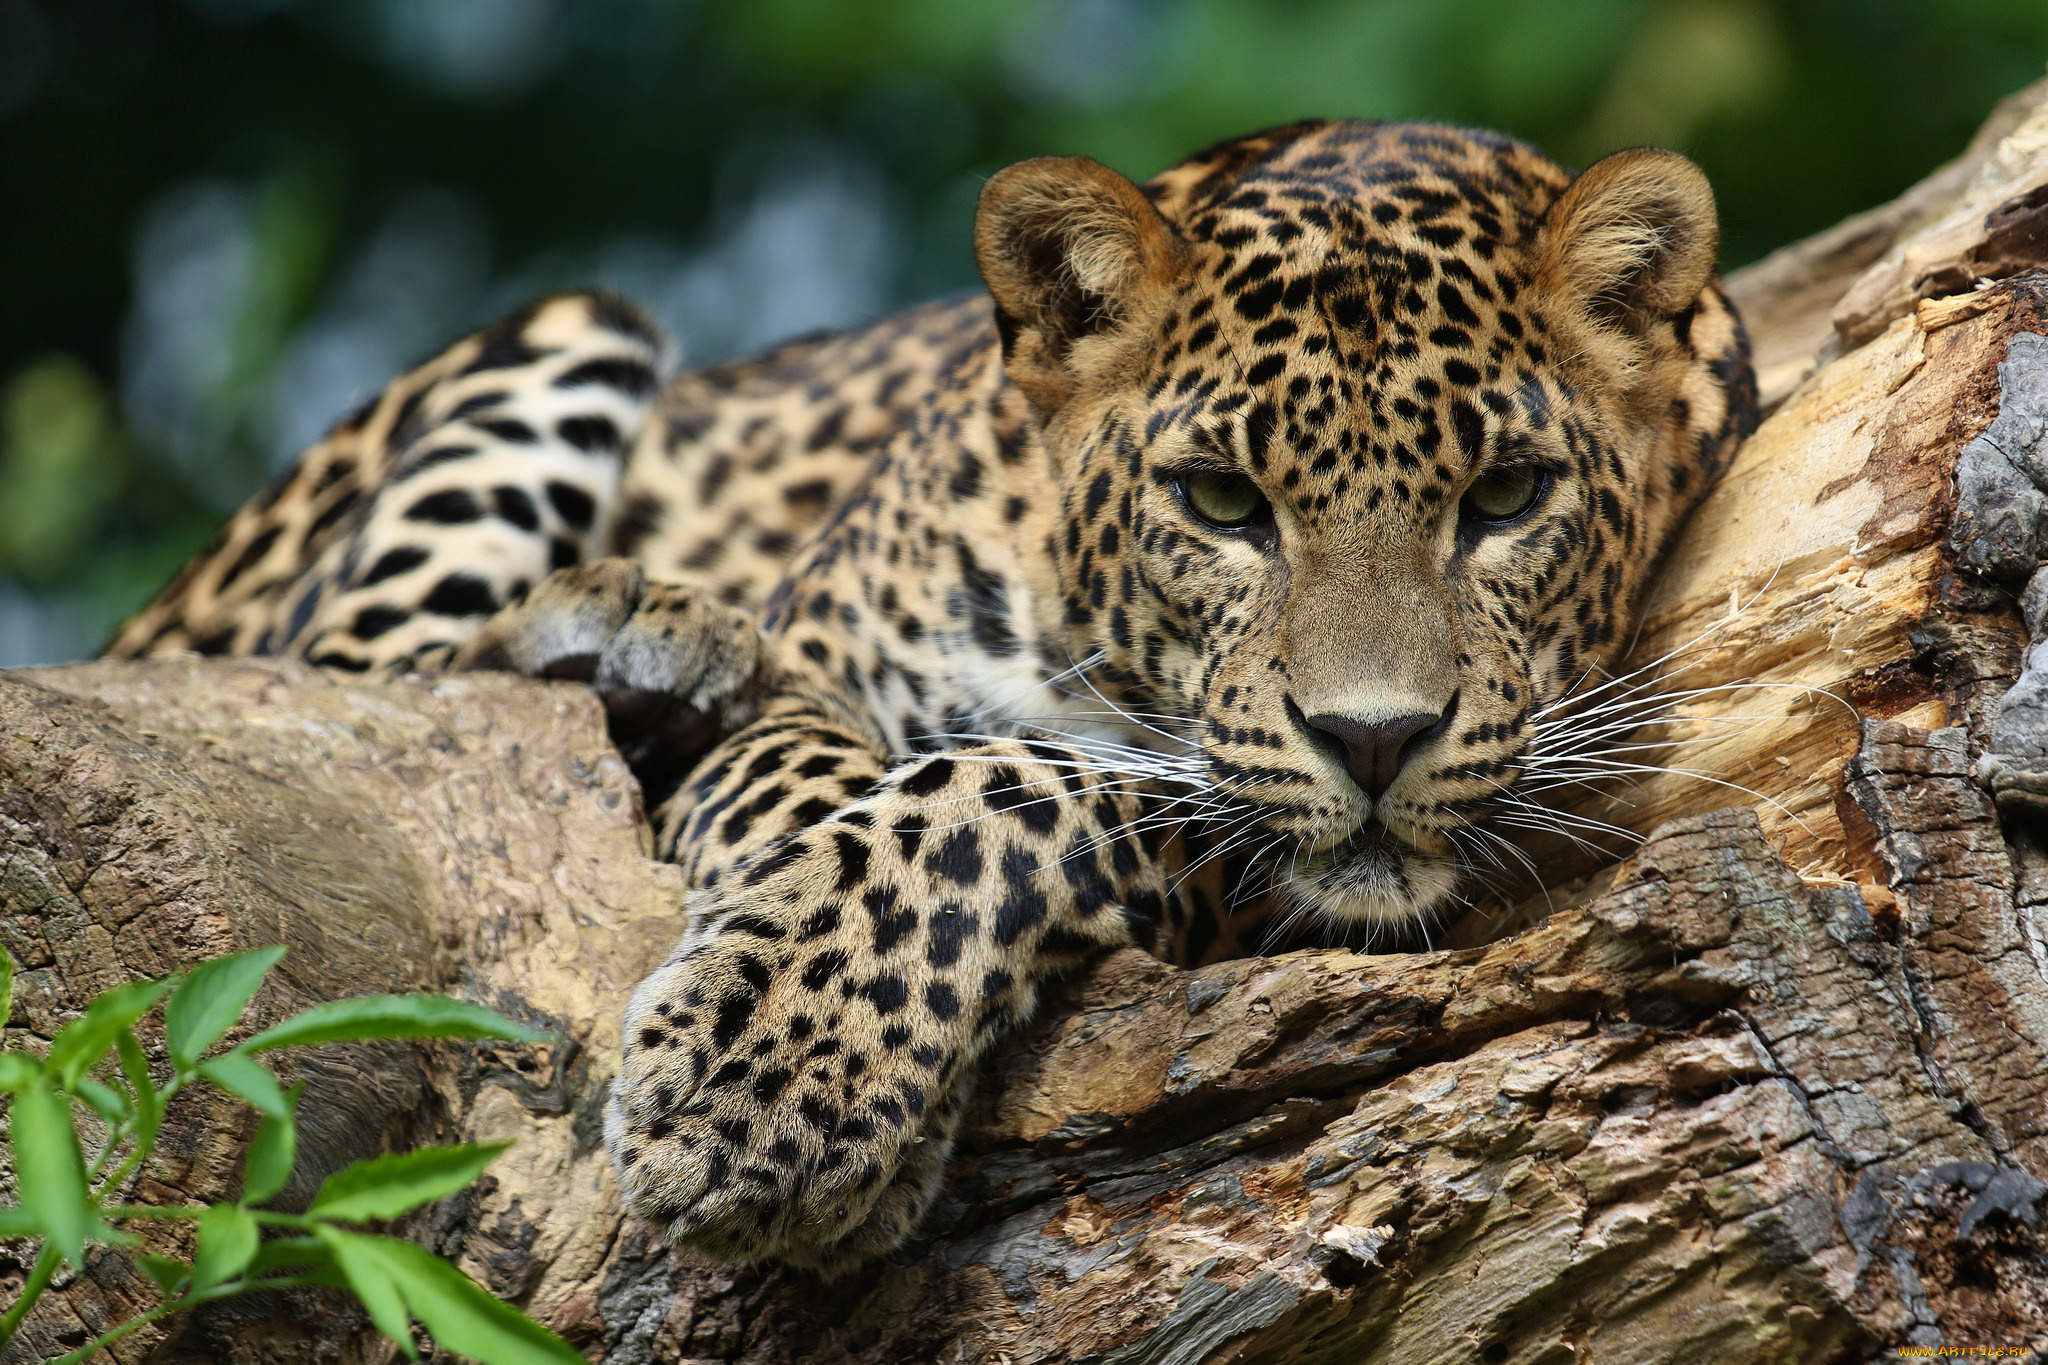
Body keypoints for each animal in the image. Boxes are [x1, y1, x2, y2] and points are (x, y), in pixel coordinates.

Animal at [106, 119, 1757, 1273]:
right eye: (1221, 501)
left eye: (1509, 497)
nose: (1375, 737)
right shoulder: (816, 658)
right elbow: (835, 790)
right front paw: (780, 1053)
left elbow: (1004, 787)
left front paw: (780, 1083)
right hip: (564, 338)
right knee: (344, 688)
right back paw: (625, 626)